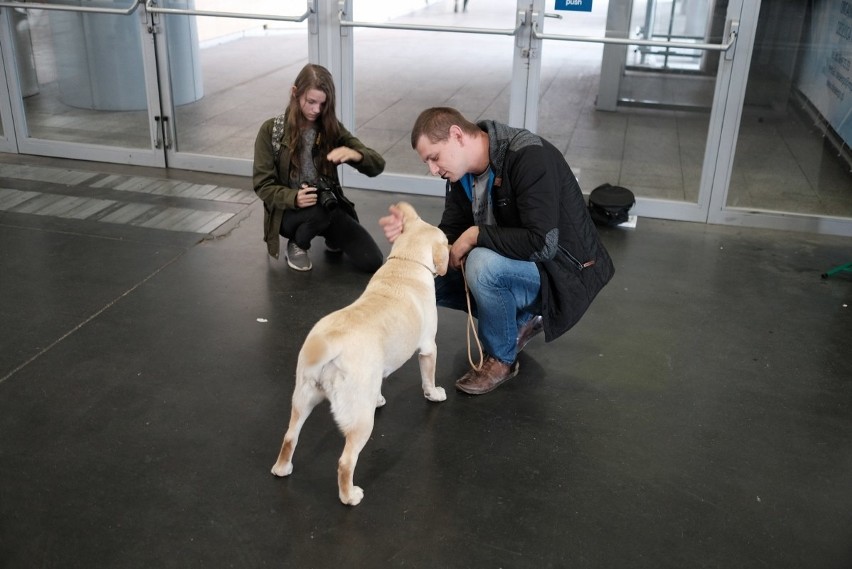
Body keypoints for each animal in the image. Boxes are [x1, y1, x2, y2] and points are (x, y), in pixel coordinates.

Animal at [272, 202, 450, 504]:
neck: (406, 261)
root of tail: (330, 345)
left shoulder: (376, 373)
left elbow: (379, 385)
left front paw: (379, 398)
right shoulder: (428, 347)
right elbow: (428, 377)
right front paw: (434, 393)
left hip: (302, 400)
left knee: (289, 438)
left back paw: (282, 469)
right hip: (360, 422)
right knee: (346, 461)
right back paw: (350, 496)